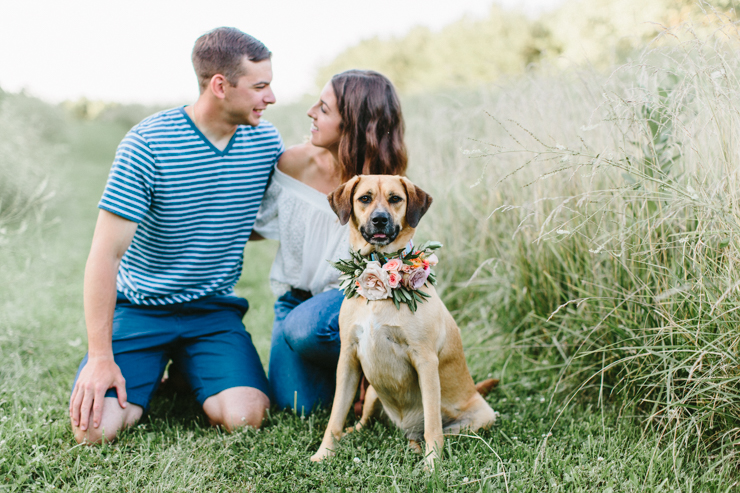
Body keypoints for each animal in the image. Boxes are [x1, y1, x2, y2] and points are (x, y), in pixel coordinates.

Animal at [312, 175, 498, 468]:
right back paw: (356, 433)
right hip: (372, 392)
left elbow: (432, 425)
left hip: (481, 417)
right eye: (364, 198)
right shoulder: (348, 359)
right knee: (364, 422)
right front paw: (324, 453)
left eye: (395, 198)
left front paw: (433, 465)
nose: (379, 219)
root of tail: (403, 427)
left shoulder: (425, 361)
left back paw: (416, 446)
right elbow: (335, 416)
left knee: (435, 431)